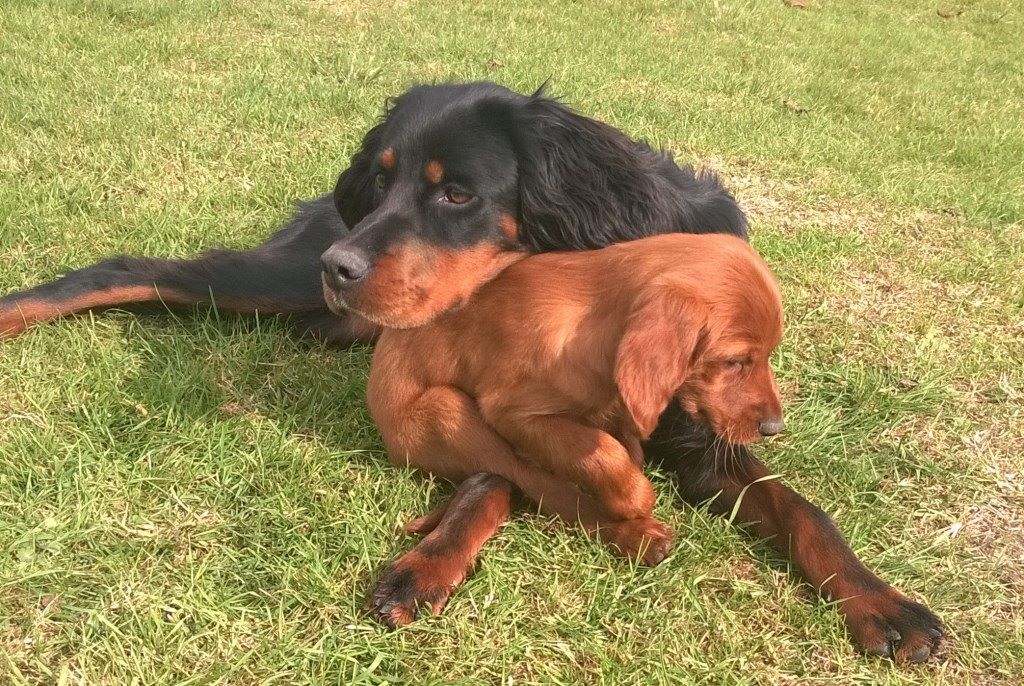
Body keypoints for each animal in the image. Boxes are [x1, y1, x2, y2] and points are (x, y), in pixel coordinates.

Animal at [0, 81, 942, 667]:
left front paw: (886, 605)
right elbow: (500, 469)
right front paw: (434, 560)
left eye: (456, 194)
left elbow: (799, 506)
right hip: (273, 284)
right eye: (381, 180)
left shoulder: (701, 425)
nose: (342, 265)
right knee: (128, 269)